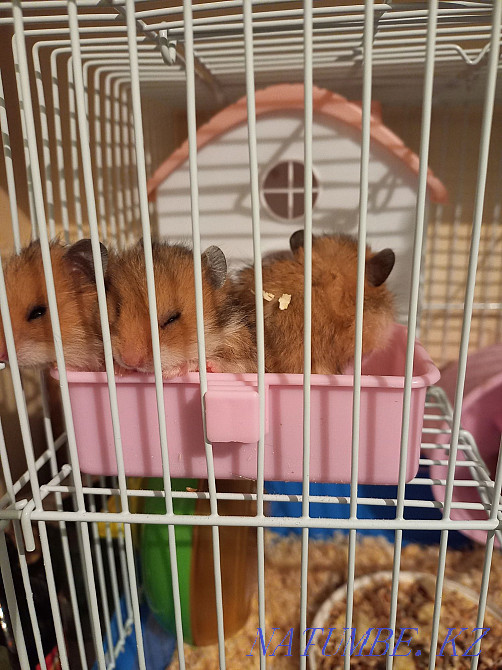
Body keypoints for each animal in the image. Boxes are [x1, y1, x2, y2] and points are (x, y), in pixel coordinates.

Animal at [105, 241, 257, 378]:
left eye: (172, 318)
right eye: (117, 309)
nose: (129, 361)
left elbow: (237, 366)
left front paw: (173, 371)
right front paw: (119, 370)